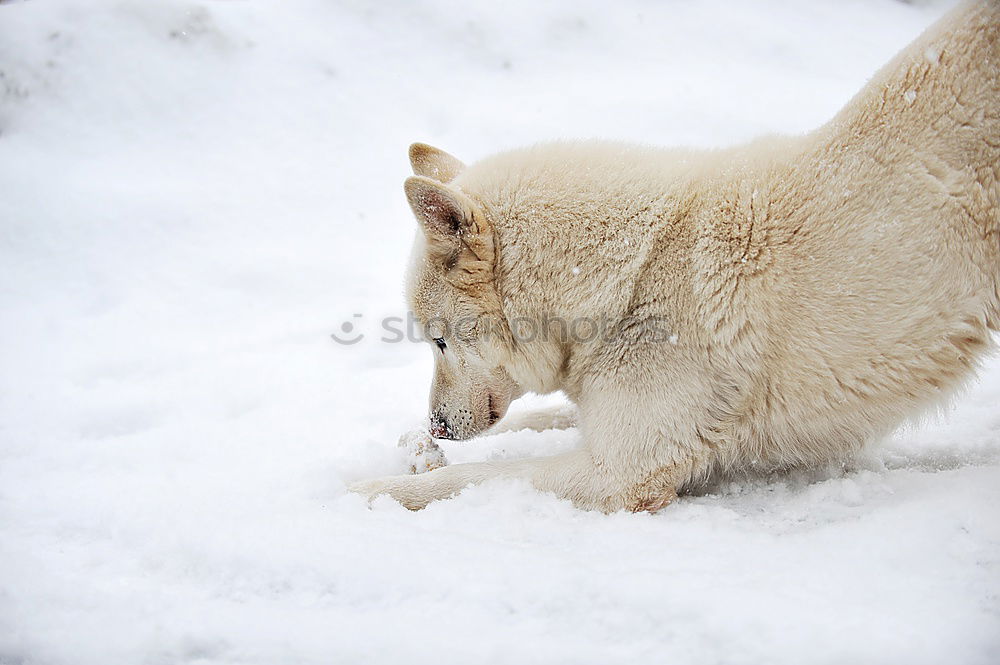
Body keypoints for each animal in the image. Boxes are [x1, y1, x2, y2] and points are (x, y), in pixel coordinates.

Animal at [350, 0, 992, 510]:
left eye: (439, 342)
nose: (437, 424)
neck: (629, 274)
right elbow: (534, 421)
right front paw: (413, 447)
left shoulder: (618, 472)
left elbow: (475, 479)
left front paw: (363, 491)